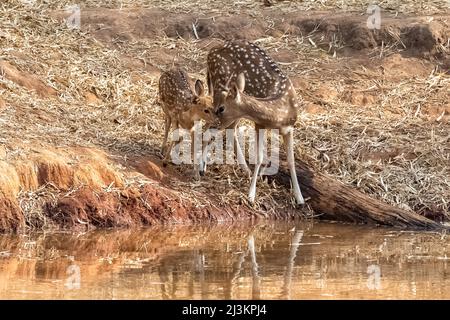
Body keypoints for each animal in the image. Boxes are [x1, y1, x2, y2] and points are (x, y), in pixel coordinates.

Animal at [206, 40, 304, 205]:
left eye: (222, 109)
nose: (215, 121)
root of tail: (210, 52)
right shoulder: (259, 124)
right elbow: (259, 157)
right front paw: (251, 195)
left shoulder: (289, 128)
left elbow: (291, 160)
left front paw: (300, 197)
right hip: (218, 86)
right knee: (223, 129)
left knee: (231, 129)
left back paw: (245, 168)